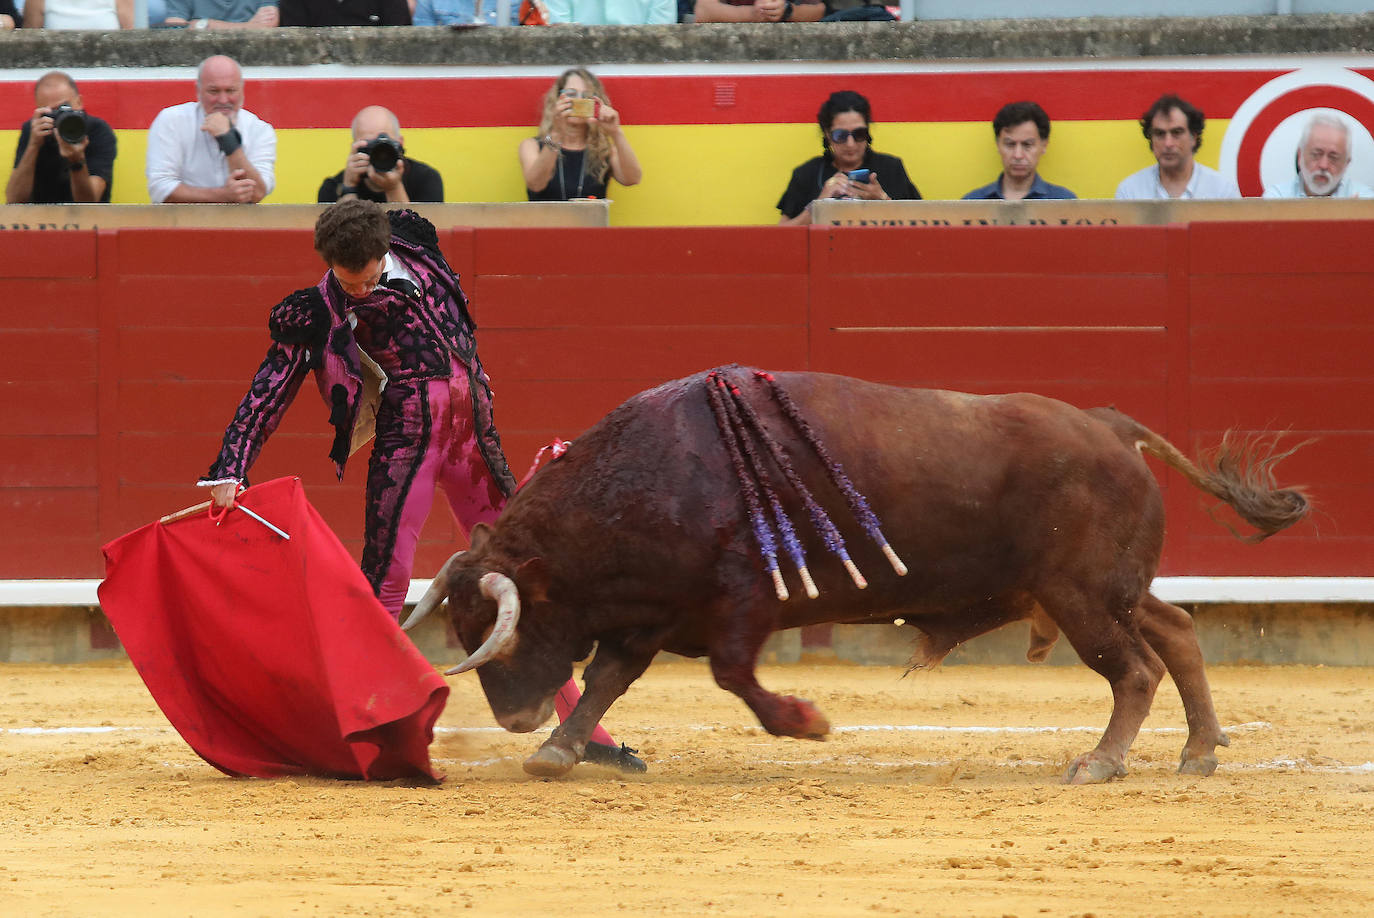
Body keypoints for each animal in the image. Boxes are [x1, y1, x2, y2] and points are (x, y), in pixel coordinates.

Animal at [403, 365, 1308, 780]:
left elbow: (733, 677)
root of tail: (1110, 426)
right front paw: (556, 751)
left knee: (1135, 670)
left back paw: (1101, 762)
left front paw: (806, 722)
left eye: (500, 633)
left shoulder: (735, 605)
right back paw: (1199, 751)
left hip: (1081, 595)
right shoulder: (652, 615)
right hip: (1107, 587)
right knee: (1177, 631)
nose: (513, 718)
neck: (655, 470)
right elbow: (606, 683)